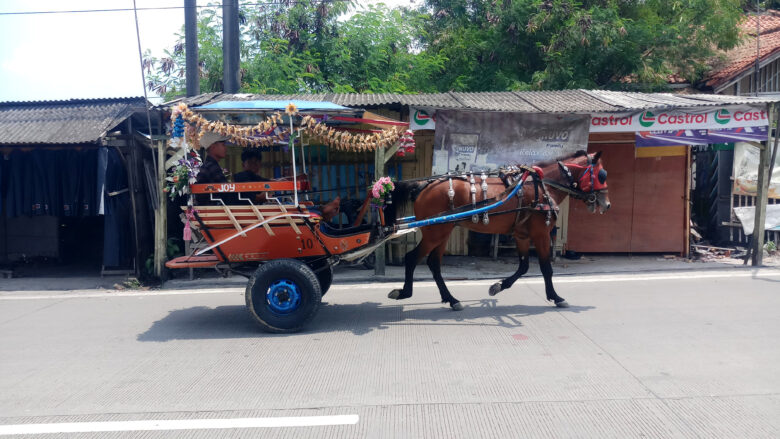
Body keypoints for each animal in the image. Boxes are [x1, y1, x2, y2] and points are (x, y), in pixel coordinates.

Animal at [384, 151, 608, 312]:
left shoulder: (522, 235)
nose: (606, 204)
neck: (542, 187)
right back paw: (404, 292)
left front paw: (498, 286)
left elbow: (524, 267)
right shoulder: (541, 234)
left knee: (433, 263)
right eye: (601, 175)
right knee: (412, 258)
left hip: (443, 231)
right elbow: (546, 268)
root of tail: (423, 186)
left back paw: (451, 299)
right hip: (435, 232)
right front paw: (556, 297)